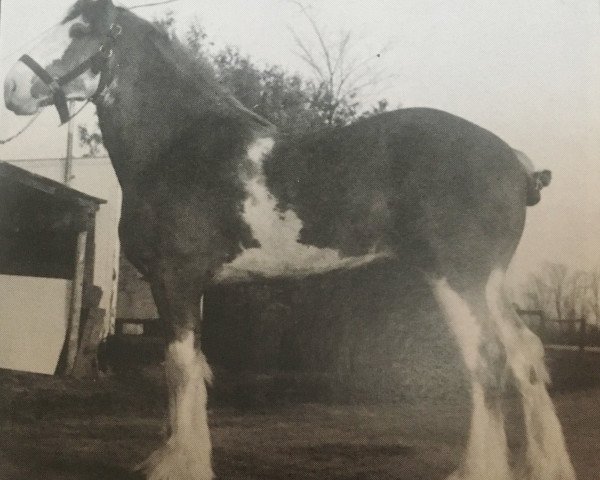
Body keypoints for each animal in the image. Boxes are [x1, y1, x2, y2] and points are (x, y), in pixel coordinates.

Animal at [2, 1, 576, 478]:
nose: (12, 87)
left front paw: (181, 465)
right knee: (524, 355)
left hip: (457, 280)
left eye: (80, 29)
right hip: (488, 285)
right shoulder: (191, 285)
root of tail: (516, 164)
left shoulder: (176, 278)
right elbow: (191, 369)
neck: (180, 146)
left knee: (486, 363)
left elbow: (180, 369)